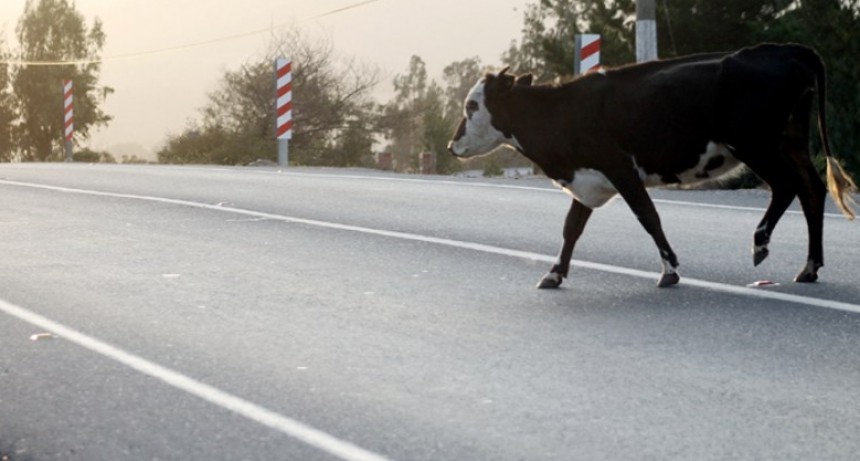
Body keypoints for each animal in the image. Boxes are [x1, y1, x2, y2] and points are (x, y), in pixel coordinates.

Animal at [447, 43, 857, 289]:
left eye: (472, 105)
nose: (453, 146)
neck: (562, 112)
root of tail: (782, 49)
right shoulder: (588, 177)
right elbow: (571, 229)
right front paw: (554, 273)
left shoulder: (619, 168)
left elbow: (648, 215)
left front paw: (670, 269)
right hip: (790, 140)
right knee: (812, 189)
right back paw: (809, 267)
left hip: (756, 144)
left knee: (788, 186)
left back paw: (761, 243)